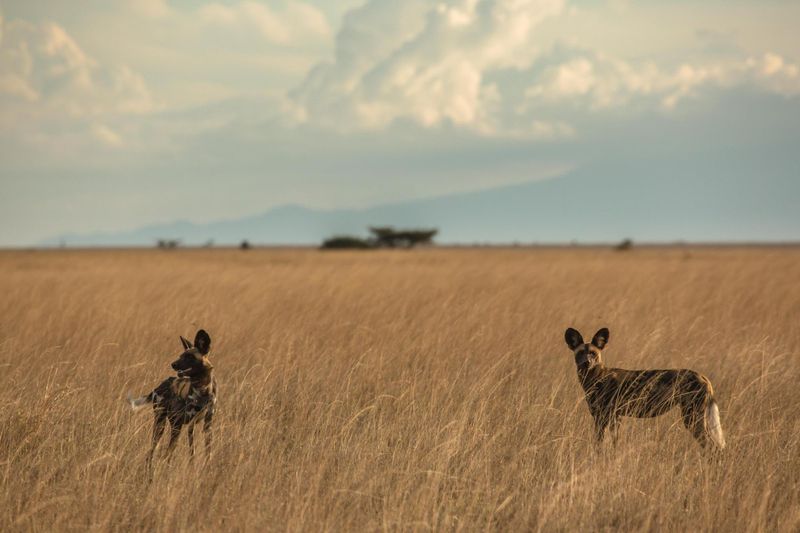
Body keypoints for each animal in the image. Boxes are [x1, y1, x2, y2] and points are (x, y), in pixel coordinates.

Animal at [126, 326, 217, 468]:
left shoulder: (207, 425)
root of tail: (159, 386)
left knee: (167, 451)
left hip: (175, 426)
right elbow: (192, 452)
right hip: (164, 425)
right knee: (155, 451)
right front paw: (192, 467)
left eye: (189, 357)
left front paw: (207, 466)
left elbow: (208, 451)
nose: (173, 364)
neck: (203, 391)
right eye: (181, 356)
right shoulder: (190, 426)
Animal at [564, 326, 724, 446]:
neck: (595, 378)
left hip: (692, 419)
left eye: (592, 353)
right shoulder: (613, 417)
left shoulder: (603, 418)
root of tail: (702, 376)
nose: (587, 363)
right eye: (580, 353)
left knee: (712, 447)